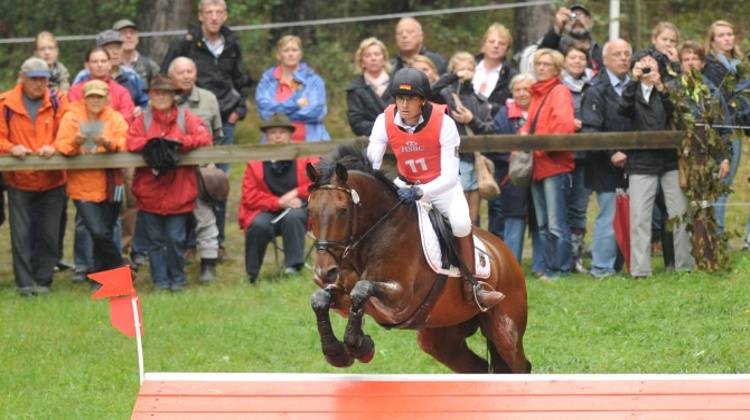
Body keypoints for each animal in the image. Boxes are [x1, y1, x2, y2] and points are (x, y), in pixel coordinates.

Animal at [304, 144, 528, 374]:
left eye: (342, 211)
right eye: (310, 209)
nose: (324, 271)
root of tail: (504, 251)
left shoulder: (400, 302)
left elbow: (362, 289)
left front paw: (358, 345)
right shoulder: (344, 293)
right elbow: (320, 299)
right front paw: (336, 351)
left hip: (505, 330)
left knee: (519, 365)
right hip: (441, 337)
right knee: (478, 366)